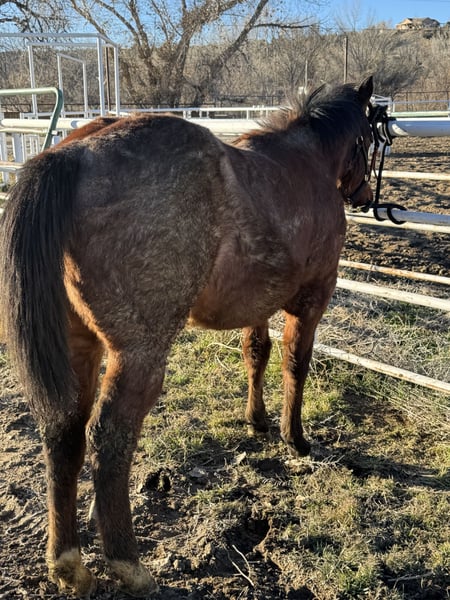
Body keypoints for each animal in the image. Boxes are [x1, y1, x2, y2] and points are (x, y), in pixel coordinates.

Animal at [0, 76, 374, 596]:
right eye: (373, 137)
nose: (366, 195)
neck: (306, 160)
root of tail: (71, 155)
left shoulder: (255, 305)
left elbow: (255, 354)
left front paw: (257, 420)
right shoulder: (313, 298)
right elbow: (295, 364)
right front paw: (294, 438)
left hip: (79, 347)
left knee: (64, 431)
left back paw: (69, 562)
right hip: (140, 356)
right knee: (109, 439)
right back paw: (128, 564)